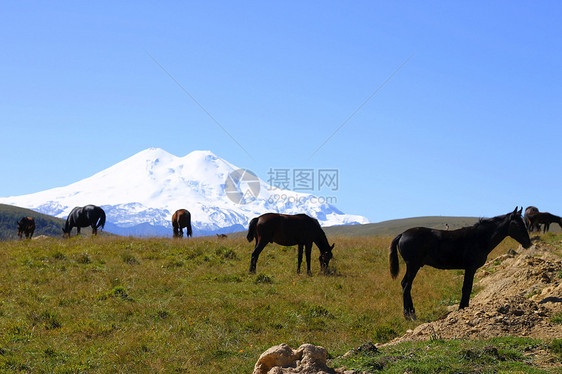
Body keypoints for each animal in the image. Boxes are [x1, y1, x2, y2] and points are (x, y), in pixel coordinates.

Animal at [390, 206, 528, 320]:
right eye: (517, 224)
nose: (528, 243)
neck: (479, 238)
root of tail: (402, 234)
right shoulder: (470, 268)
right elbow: (466, 288)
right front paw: (462, 307)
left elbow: (467, 287)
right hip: (413, 265)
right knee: (406, 285)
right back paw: (410, 315)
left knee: (406, 285)